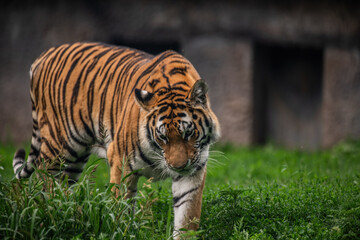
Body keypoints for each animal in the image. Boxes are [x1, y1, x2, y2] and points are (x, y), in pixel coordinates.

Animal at [13, 41, 219, 236]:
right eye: (162, 137)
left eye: (188, 133)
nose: (178, 166)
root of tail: (43, 56)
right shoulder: (121, 161)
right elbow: (121, 208)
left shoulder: (193, 171)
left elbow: (187, 217)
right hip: (57, 148)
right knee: (44, 184)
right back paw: (47, 216)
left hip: (72, 162)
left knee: (62, 189)